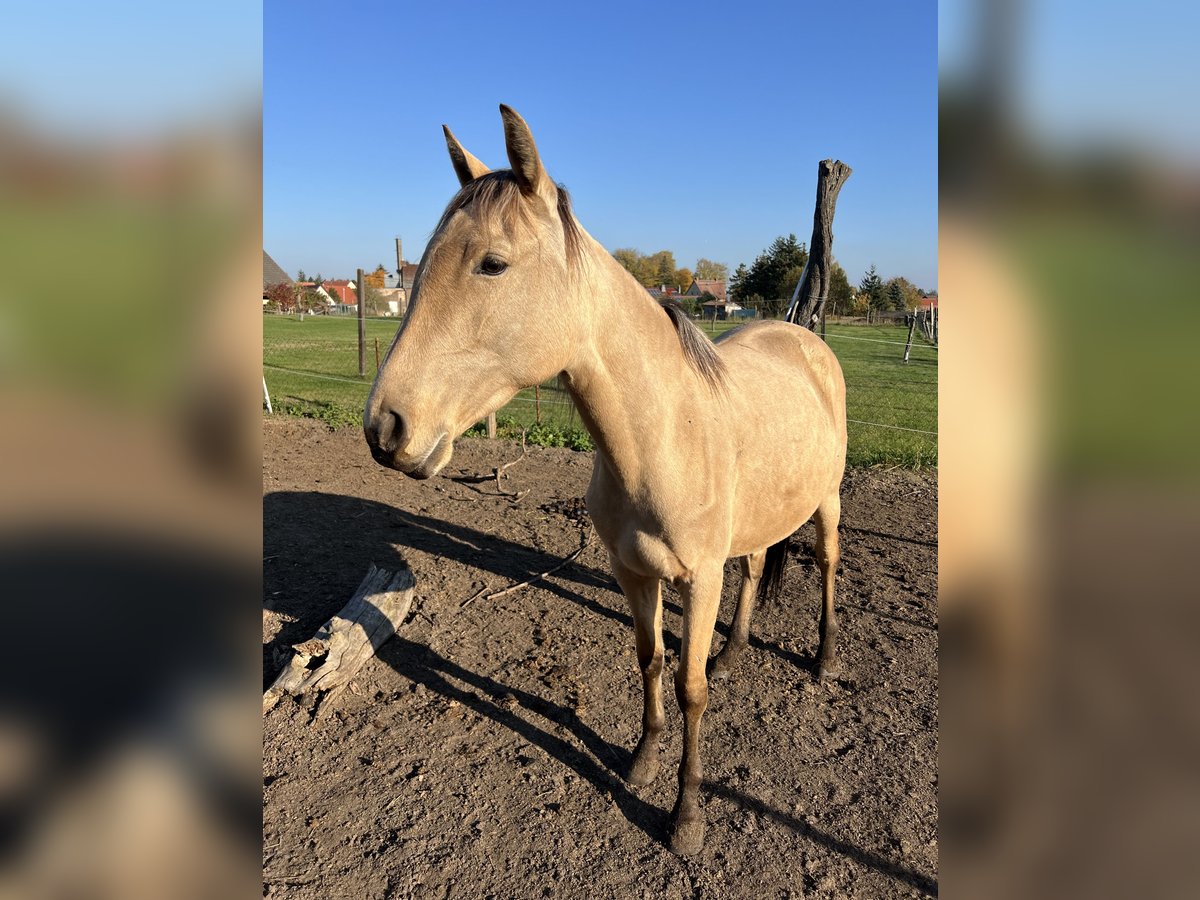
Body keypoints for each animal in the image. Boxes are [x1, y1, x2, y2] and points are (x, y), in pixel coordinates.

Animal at [362, 102, 844, 854]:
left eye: (492, 264)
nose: (385, 428)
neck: (661, 437)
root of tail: (808, 342)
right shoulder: (633, 573)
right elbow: (648, 661)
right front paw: (642, 762)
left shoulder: (697, 578)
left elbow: (690, 688)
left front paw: (686, 817)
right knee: (757, 561)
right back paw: (735, 651)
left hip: (827, 501)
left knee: (824, 565)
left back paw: (823, 660)